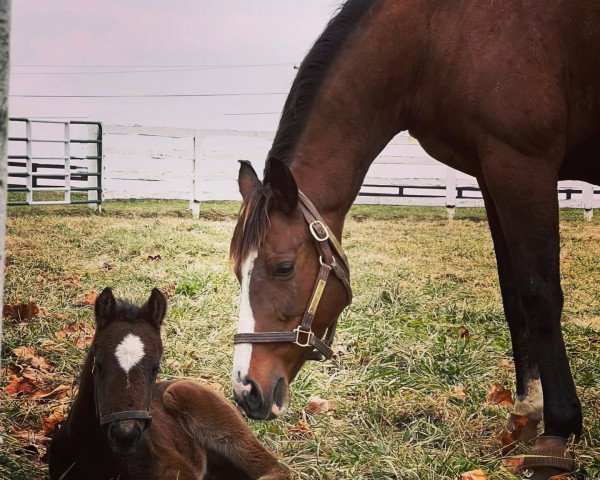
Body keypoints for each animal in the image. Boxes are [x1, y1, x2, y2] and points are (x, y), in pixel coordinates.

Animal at [227, 0, 596, 478]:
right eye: (239, 272)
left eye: (284, 267)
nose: (246, 392)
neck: (435, 36)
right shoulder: (492, 171)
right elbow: (514, 295)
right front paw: (527, 410)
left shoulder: (523, 163)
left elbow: (540, 295)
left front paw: (559, 430)